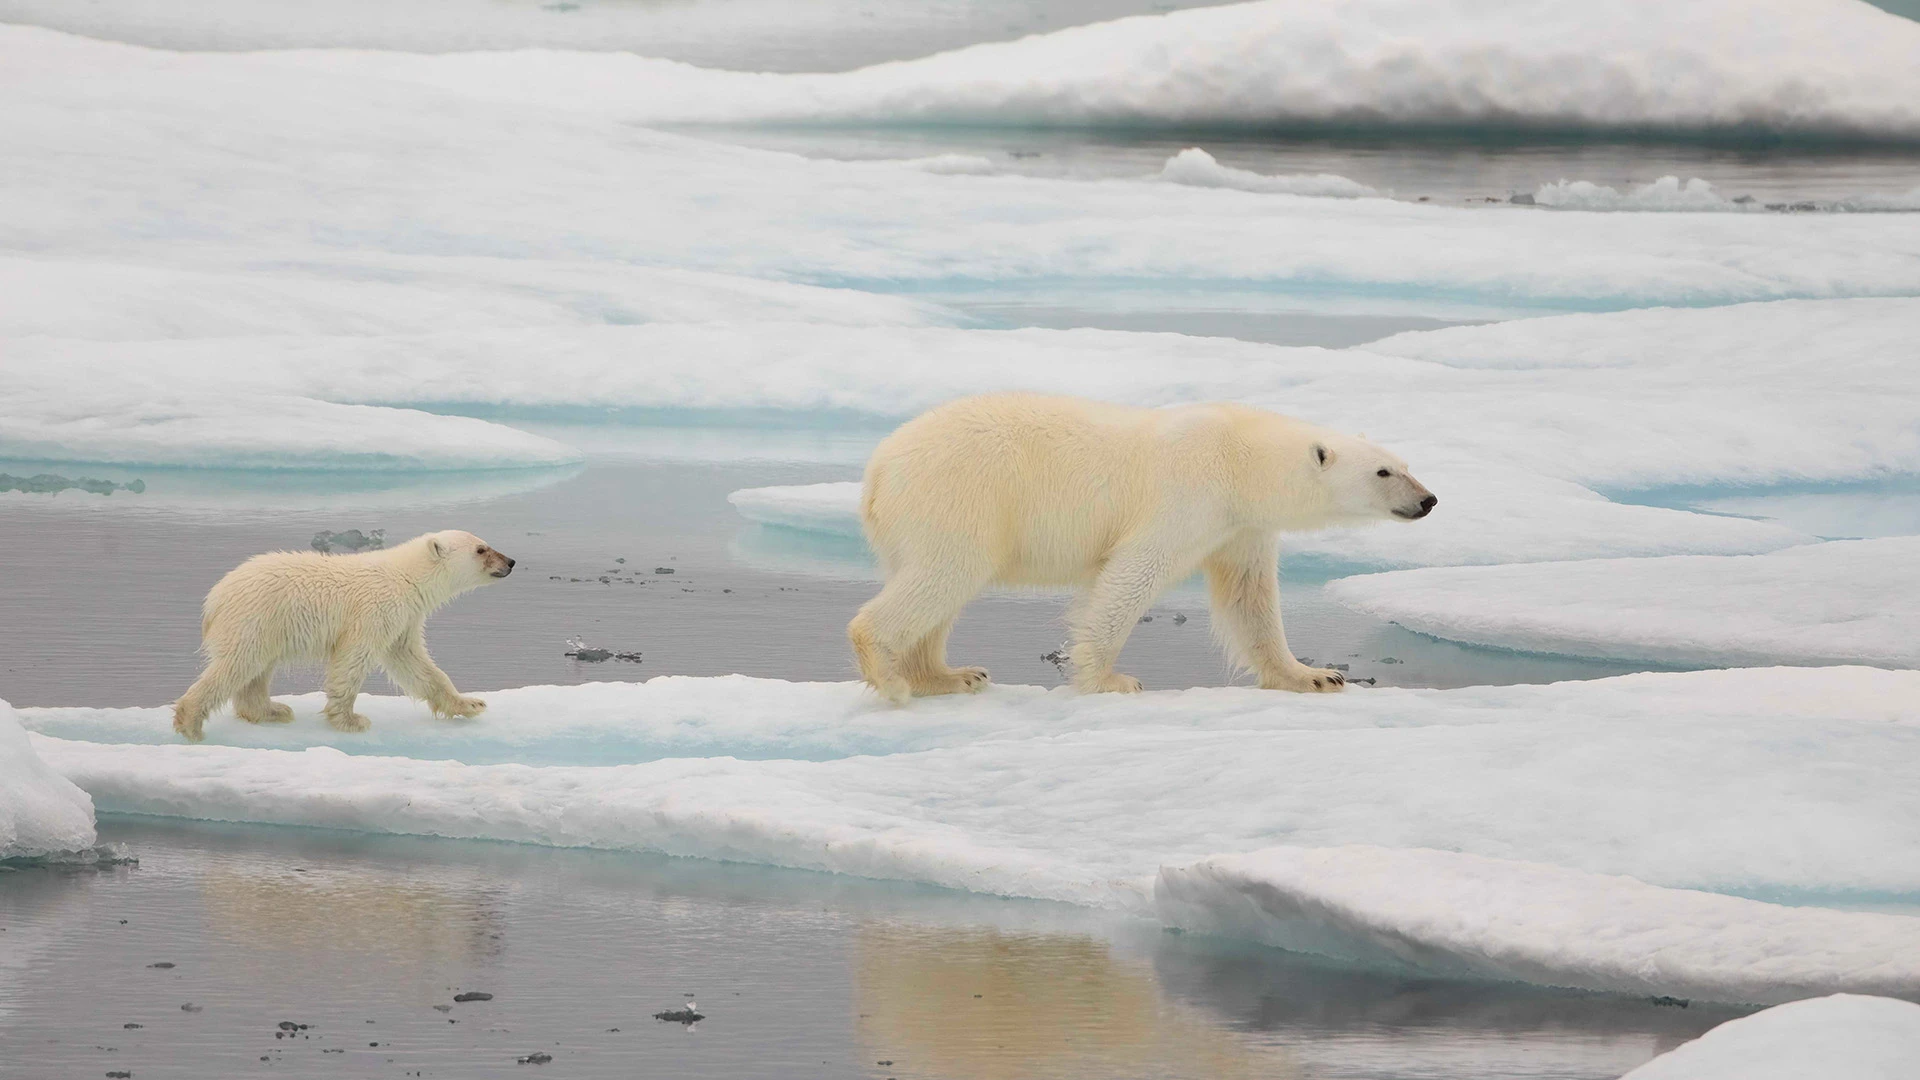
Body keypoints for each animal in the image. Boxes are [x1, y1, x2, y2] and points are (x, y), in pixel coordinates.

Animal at [171, 530, 515, 742]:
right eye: (481, 549)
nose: (510, 562)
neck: (406, 577)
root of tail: (214, 598)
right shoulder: (375, 609)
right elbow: (353, 659)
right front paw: (351, 720)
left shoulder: (404, 619)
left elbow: (414, 663)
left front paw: (470, 704)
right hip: (255, 618)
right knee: (238, 664)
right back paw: (191, 723)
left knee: (256, 671)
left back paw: (272, 710)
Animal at [847, 393, 1435, 703]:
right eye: (1384, 472)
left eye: (1405, 464)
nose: (1428, 500)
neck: (1240, 457)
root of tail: (879, 467)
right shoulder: (1189, 495)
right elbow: (1132, 574)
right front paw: (1110, 679)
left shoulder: (1240, 527)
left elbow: (1250, 599)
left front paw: (1315, 675)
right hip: (961, 497)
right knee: (944, 574)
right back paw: (892, 677)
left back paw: (949, 675)